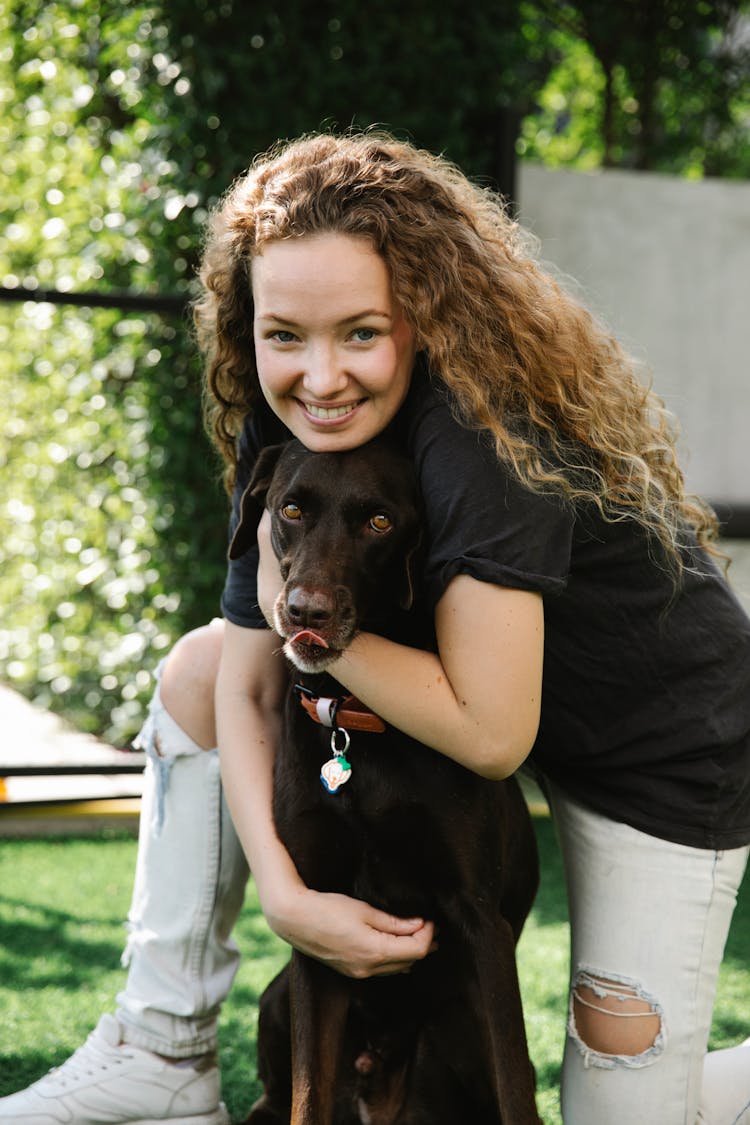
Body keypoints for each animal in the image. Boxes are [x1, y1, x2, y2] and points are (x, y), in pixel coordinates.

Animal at [229, 438, 539, 1125]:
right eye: (291, 509)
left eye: (379, 522)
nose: (306, 612)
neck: (356, 728)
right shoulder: (316, 926)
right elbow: (307, 1095)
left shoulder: (482, 923)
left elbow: (515, 1087)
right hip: (277, 994)